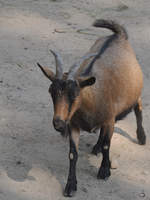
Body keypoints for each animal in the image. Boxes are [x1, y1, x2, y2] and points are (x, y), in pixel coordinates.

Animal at [37, 19, 146, 198]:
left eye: (74, 94)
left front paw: (104, 171)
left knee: (138, 107)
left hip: (135, 91)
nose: (58, 124)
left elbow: (108, 145)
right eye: (51, 91)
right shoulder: (74, 125)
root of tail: (119, 35)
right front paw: (70, 186)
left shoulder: (109, 119)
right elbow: (73, 154)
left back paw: (141, 137)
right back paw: (96, 147)